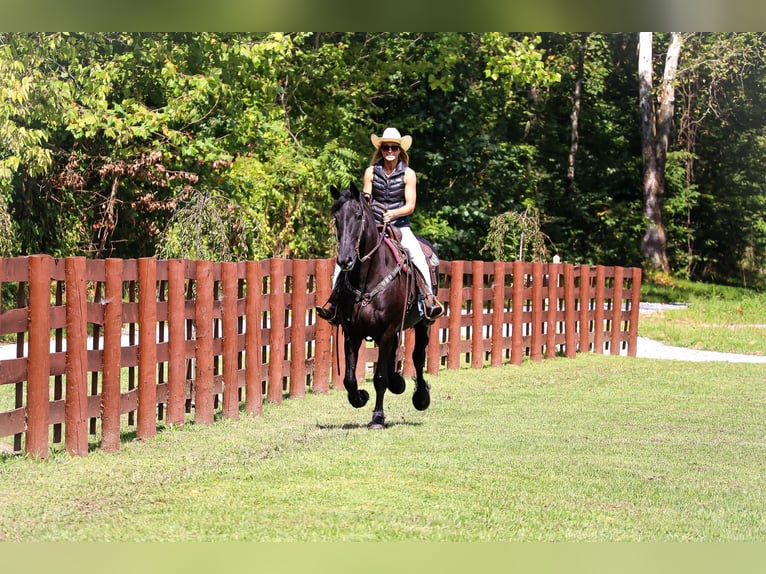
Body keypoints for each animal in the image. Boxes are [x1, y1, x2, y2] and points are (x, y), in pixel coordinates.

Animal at [332, 182, 438, 430]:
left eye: (358, 215)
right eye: (336, 218)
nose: (345, 260)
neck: (367, 278)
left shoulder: (388, 330)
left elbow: (379, 377)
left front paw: (378, 417)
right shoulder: (352, 333)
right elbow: (349, 378)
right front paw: (360, 397)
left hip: (422, 325)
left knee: (418, 356)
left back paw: (421, 397)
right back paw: (397, 382)